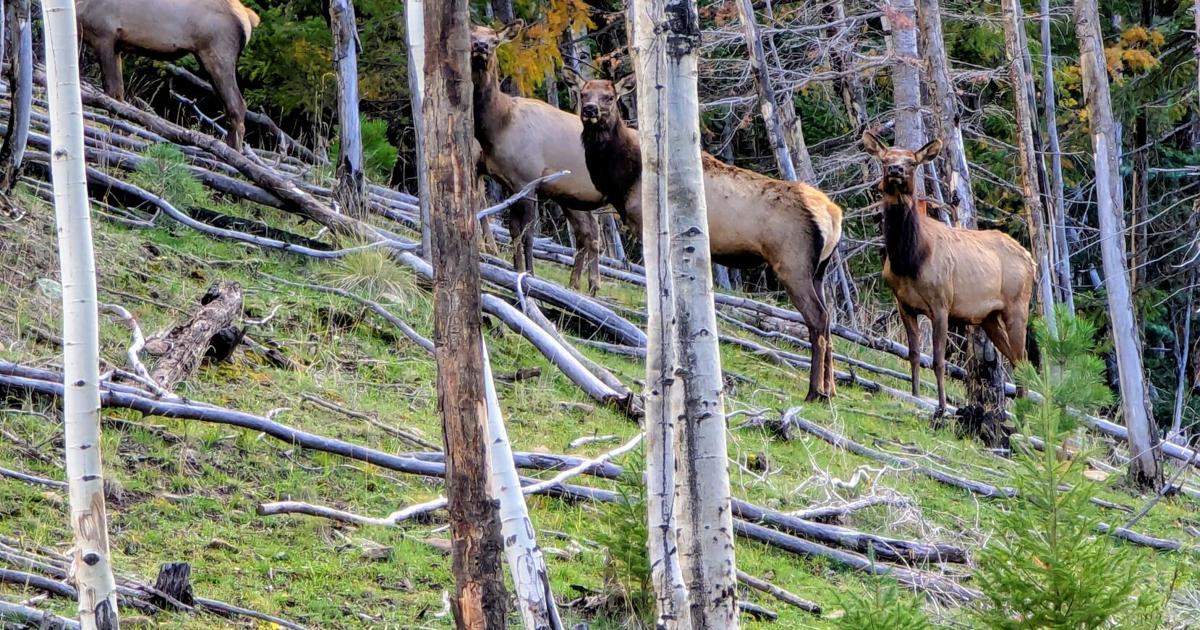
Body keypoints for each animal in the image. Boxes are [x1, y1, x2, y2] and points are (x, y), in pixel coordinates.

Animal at [75, 0, 260, 151]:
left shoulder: (104, 36)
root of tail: (249, 19)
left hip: (217, 55)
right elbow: (118, 94)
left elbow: (111, 93)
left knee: (237, 105)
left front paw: (116, 136)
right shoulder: (116, 46)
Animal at [470, 21, 604, 295]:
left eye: (495, 40)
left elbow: (527, 233)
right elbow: (512, 229)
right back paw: (577, 283)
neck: (499, 126)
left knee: (595, 231)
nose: (480, 46)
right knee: (586, 231)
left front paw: (528, 274)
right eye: (471, 35)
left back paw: (592, 284)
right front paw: (514, 268)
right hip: (571, 196)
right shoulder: (507, 181)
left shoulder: (529, 180)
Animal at [565, 73, 844, 401]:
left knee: (818, 319)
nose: (591, 110)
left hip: (792, 263)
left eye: (609, 96)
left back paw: (815, 391)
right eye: (583, 93)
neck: (625, 177)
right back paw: (831, 390)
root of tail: (834, 215)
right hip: (819, 270)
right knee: (829, 318)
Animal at [862, 131, 1034, 417]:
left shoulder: (942, 303)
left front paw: (941, 406)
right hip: (989, 316)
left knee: (1024, 361)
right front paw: (915, 395)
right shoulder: (903, 304)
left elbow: (938, 360)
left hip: (1018, 304)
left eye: (912, 162)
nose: (896, 169)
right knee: (1016, 361)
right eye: (885, 160)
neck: (909, 261)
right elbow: (914, 354)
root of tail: (1032, 261)